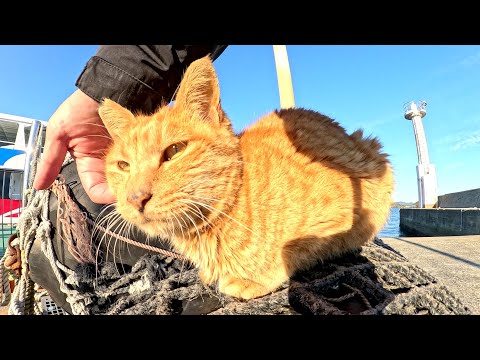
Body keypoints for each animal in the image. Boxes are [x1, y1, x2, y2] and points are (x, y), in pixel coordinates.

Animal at [98, 54, 394, 300]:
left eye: (174, 151)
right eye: (123, 165)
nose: (136, 198)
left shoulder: (349, 210)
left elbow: (299, 249)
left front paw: (254, 276)